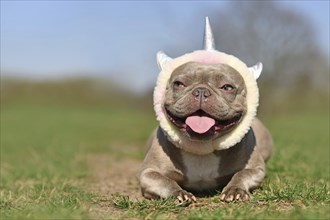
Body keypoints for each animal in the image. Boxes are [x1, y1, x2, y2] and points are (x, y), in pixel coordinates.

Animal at [138, 17, 272, 205]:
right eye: (179, 84)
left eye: (227, 87)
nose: (201, 91)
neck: (202, 149)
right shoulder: (148, 173)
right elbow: (164, 181)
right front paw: (178, 193)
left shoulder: (256, 169)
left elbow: (242, 174)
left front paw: (235, 190)